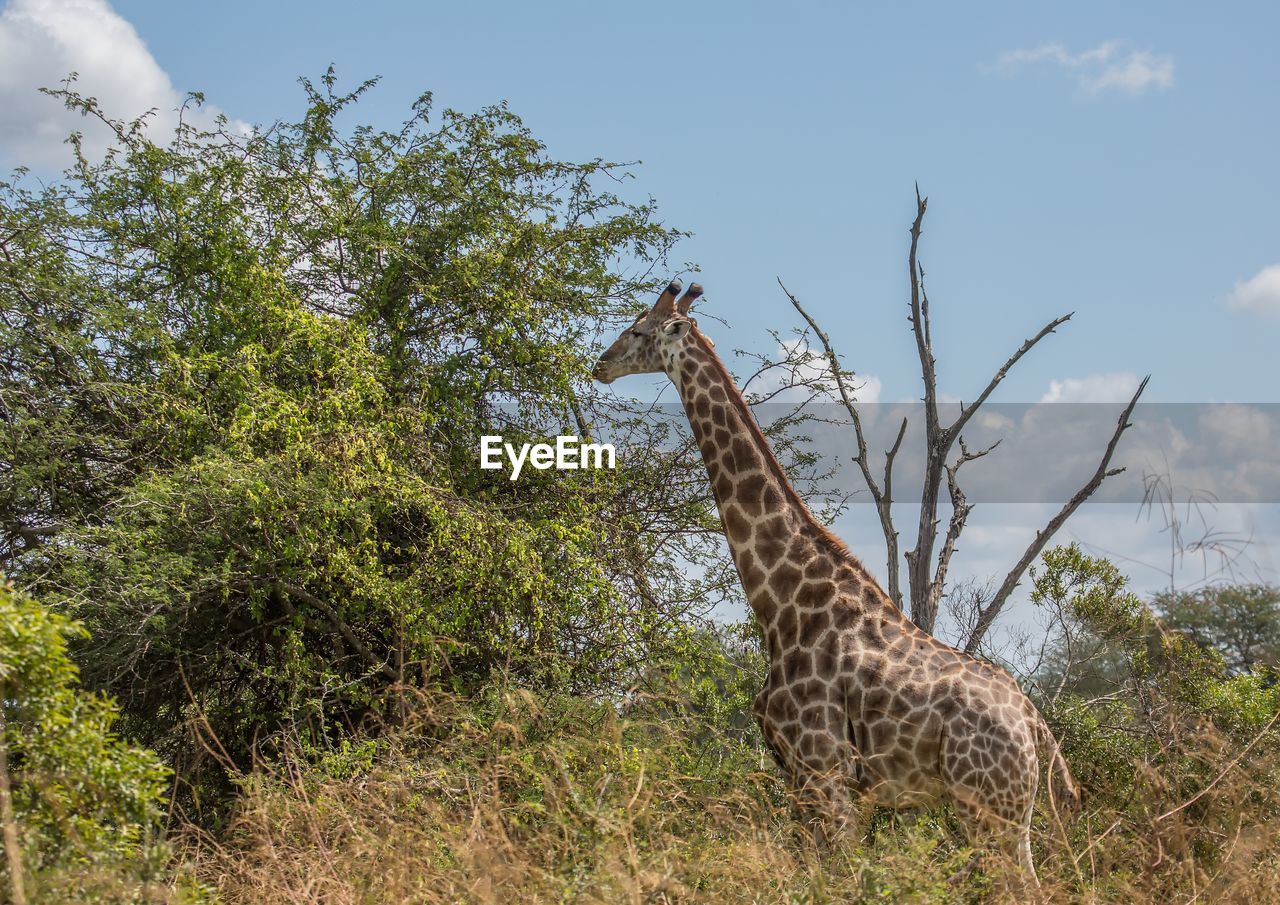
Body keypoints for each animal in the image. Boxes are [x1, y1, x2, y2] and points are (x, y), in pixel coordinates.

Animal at [588, 277, 1080, 885]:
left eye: (638, 330)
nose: (601, 366)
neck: (781, 604)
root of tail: (1035, 726)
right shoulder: (803, 778)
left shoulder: (826, 772)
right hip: (1008, 810)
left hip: (990, 806)